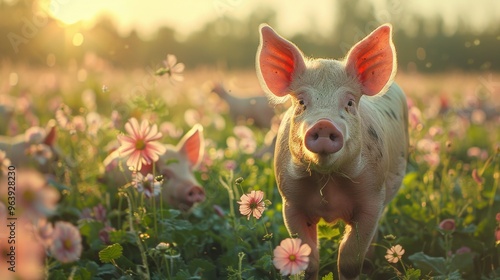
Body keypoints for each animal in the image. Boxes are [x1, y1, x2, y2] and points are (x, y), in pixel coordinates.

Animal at [256, 24, 408, 280]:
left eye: (349, 103)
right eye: (301, 102)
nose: (324, 124)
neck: (328, 183)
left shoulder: (372, 198)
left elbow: (349, 259)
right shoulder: (291, 203)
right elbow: (308, 259)